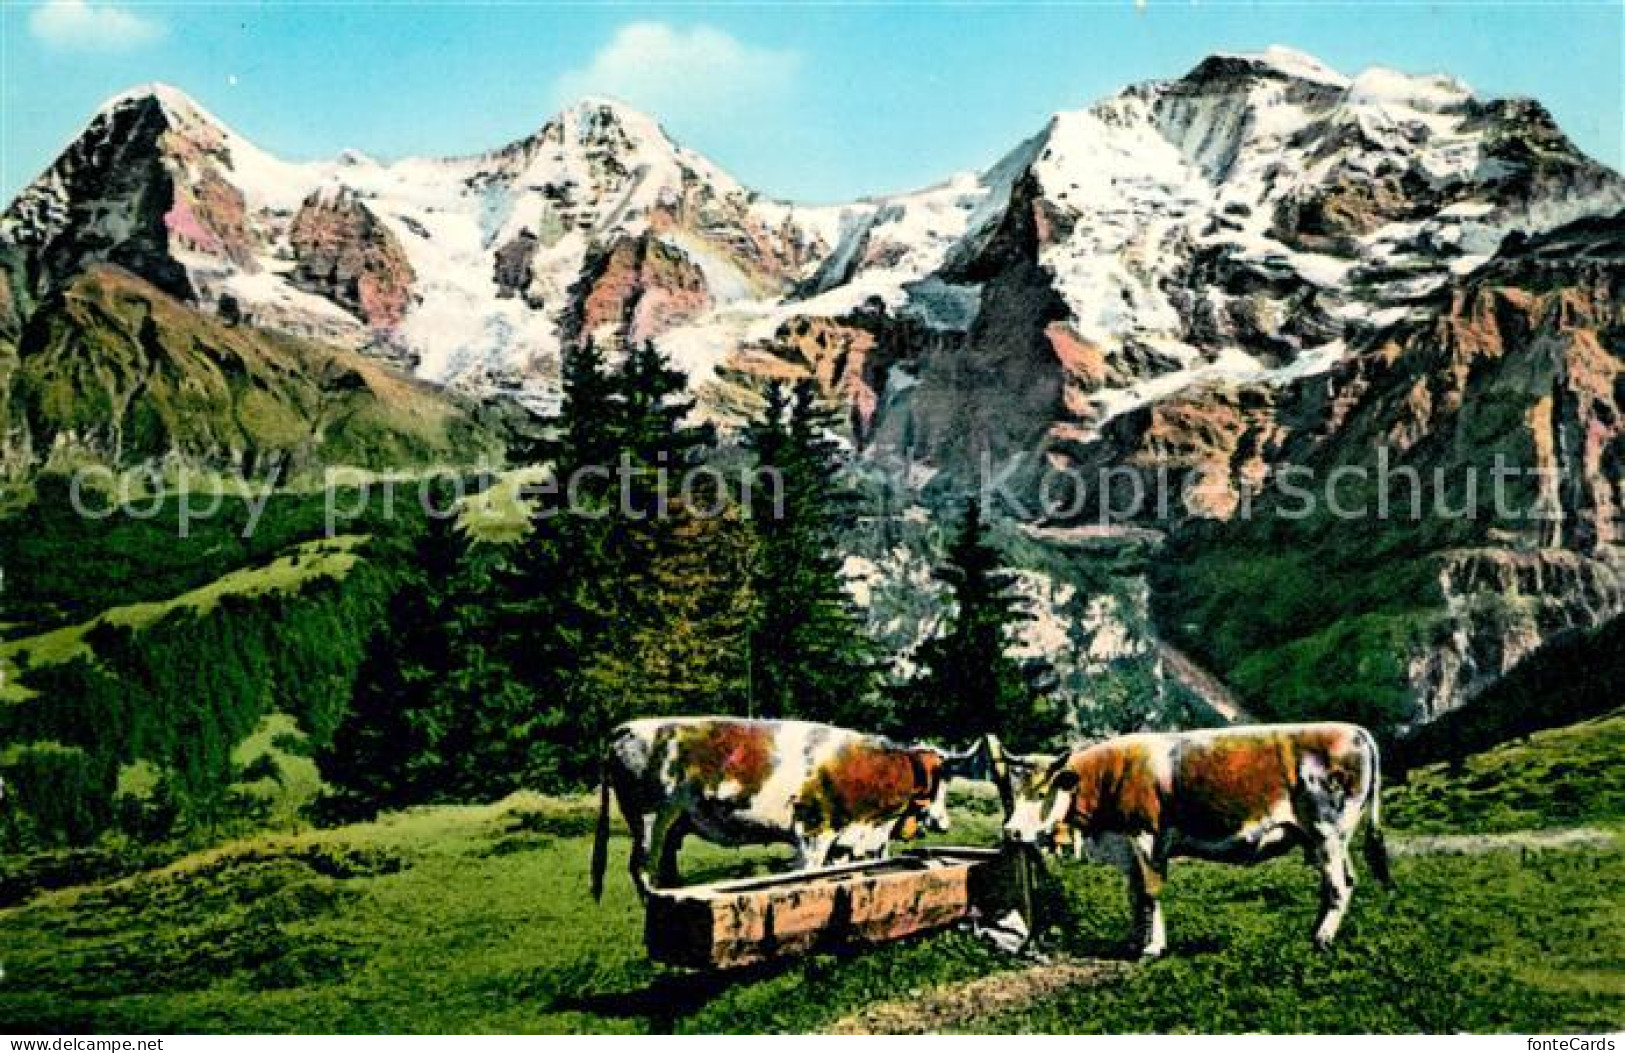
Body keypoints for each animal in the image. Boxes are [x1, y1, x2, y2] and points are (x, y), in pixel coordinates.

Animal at [591, 715, 955, 897]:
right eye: (941, 782)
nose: (945, 824)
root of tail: (625, 729)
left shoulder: (847, 840)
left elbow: (844, 875)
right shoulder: (813, 834)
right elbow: (810, 877)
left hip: (670, 825)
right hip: (649, 819)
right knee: (641, 869)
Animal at [994, 724, 1391, 955]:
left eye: (1040, 793)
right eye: (1017, 789)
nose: (1010, 831)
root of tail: (1354, 730)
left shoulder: (1145, 838)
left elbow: (1150, 892)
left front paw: (1152, 948)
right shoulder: (1129, 847)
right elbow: (1135, 894)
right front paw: (1135, 940)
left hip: (1328, 832)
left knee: (1339, 885)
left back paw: (1322, 939)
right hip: (1330, 839)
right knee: (1341, 881)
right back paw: (1316, 933)